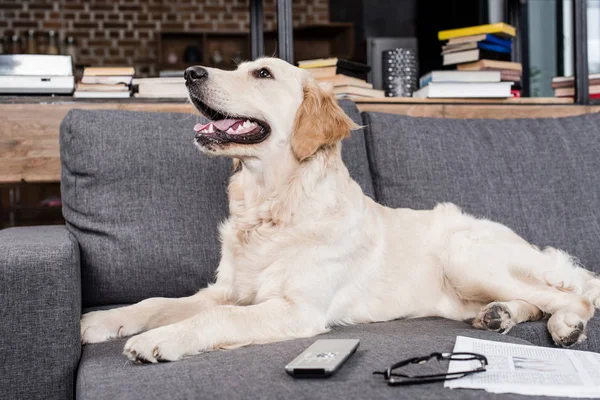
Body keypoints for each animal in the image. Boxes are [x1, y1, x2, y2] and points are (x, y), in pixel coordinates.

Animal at [81, 57, 600, 362]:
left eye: (262, 74)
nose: (191, 73)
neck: (272, 205)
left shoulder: (297, 308)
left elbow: (214, 320)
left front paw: (157, 340)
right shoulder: (227, 290)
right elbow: (157, 303)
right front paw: (101, 321)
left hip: (467, 255)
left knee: (575, 299)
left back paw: (565, 327)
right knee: (534, 300)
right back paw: (500, 316)